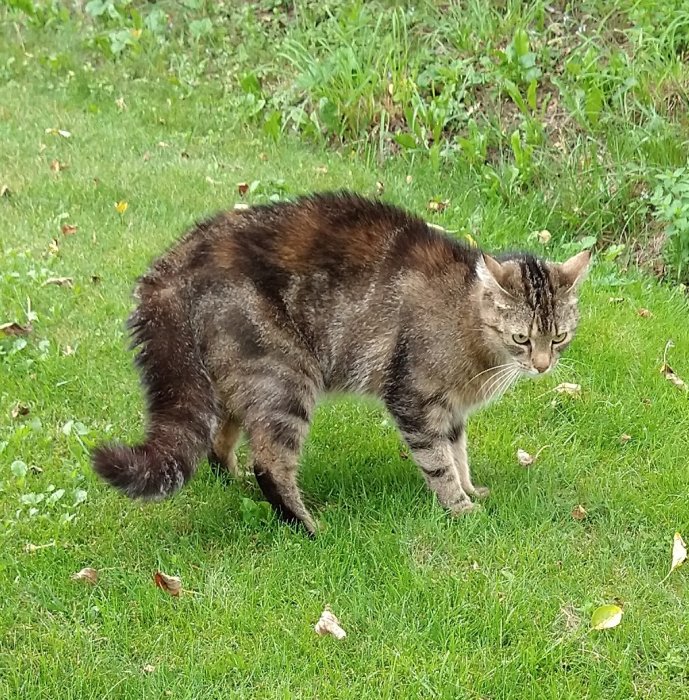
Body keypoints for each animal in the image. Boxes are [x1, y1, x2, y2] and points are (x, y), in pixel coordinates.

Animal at [90, 189, 584, 532]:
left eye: (559, 337)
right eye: (522, 338)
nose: (543, 366)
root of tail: (174, 259)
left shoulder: (451, 410)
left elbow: (459, 455)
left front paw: (470, 489)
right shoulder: (414, 398)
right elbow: (440, 462)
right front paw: (461, 508)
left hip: (231, 378)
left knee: (219, 441)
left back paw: (235, 483)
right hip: (284, 377)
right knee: (269, 462)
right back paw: (306, 526)